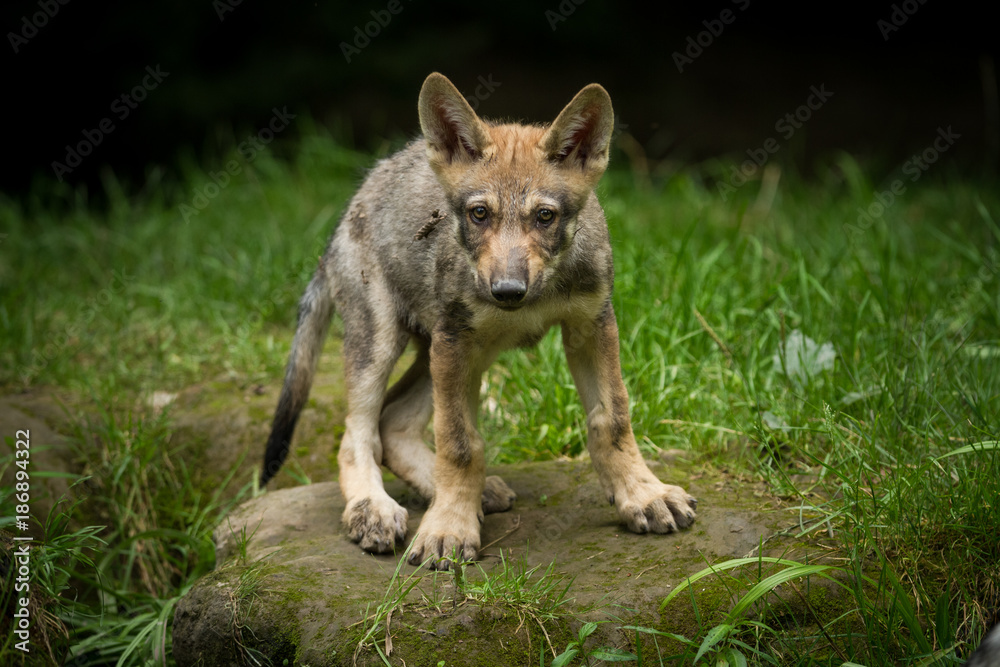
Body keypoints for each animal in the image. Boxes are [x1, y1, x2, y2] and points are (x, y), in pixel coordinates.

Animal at [260, 72, 698, 569]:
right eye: (479, 213)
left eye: (544, 216)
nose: (507, 290)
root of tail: (347, 210)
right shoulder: (456, 342)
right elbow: (460, 444)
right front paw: (449, 527)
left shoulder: (591, 326)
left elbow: (613, 419)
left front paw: (643, 496)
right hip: (389, 343)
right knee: (358, 434)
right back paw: (373, 509)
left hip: (460, 353)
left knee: (392, 423)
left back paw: (469, 493)